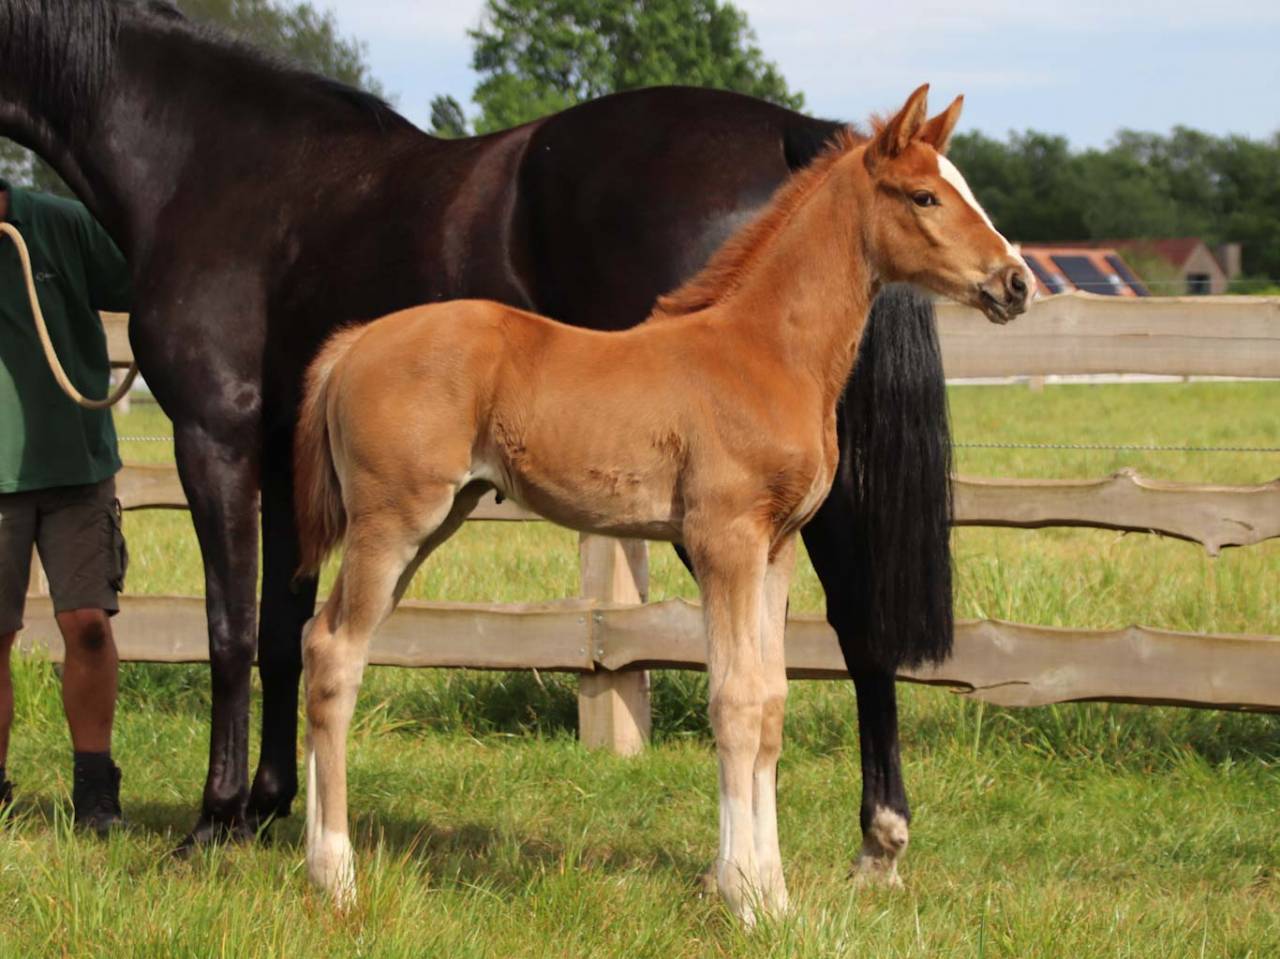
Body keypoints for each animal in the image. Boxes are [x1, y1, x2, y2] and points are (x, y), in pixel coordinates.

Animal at [0, 0, 952, 877]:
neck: (208, 157)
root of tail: (789, 132)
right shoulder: (282, 461)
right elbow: (281, 630)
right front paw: (269, 807)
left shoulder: (215, 439)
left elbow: (229, 631)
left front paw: (215, 818)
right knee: (853, 624)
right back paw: (867, 839)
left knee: (824, 628)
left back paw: (839, 843)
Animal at [295, 85, 1030, 922]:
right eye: (924, 195)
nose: (1016, 282)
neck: (763, 350)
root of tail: (351, 345)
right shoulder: (725, 541)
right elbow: (735, 702)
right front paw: (746, 896)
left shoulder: (776, 548)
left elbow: (770, 703)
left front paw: (774, 893)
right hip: (391, 523)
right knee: (335, 654)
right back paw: (336, 875)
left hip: (428, 524)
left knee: (320, 640)